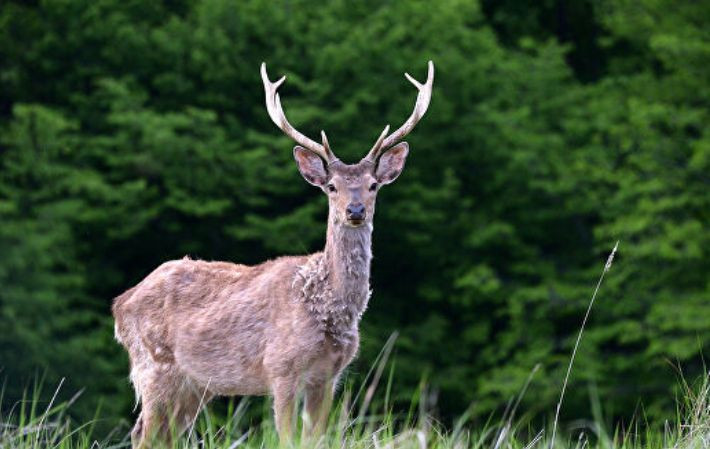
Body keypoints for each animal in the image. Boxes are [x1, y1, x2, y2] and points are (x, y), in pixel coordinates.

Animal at [111, 60, 434, 448]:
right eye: (331, 186)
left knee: (163, 435)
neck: (327, 307)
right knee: (143, 432)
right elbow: (286, 438)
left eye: (373, 186)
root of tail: (120, 303)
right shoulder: (280, 367)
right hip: (153, 364)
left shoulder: (328, 376)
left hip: (195, 384)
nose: (355, 210)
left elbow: (315, 439)